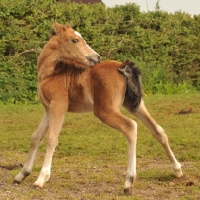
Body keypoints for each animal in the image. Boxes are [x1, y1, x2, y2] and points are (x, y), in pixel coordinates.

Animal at [13, 21, 183, 195]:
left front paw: (41, 179)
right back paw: (177, 170)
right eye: (74, 40)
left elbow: (51, 138)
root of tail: (122, 66)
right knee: (158, 130)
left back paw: (129, 182)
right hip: (135, 105)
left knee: (130, 126)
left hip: (104, 110)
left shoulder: (58, 106)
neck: (51, 72)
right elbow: (36, 137)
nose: (97, 57)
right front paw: (21, 175)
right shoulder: (48, 110)